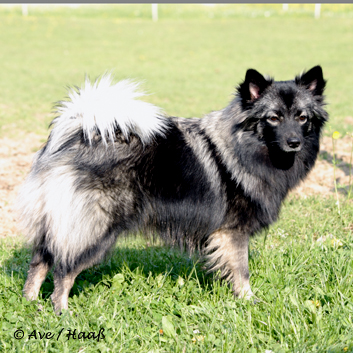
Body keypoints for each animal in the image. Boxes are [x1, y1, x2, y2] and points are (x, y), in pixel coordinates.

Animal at [17, 66, 328, 314]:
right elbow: (242, 271)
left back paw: (30, 303)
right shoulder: (232, 232)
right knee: (63, 271)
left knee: (39, 262)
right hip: (94, 230)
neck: (244, 147)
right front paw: (249, 302)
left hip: (59, 223)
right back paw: (63, 311)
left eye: (302, 118)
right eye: (273, 118)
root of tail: (75, 135)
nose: (294, 142)